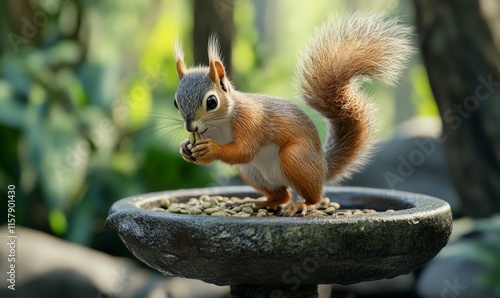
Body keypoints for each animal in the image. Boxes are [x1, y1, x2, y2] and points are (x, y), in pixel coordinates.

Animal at [174, 12, 412, 217]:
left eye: (211, 102)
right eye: (176, 102)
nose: (190, 127)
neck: (220, 123)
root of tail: (322, 167)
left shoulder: (251, 121)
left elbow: (244, 149)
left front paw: (212, 149)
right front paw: (185, 148)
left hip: (296, 158)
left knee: (312, 196)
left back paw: (302, 205)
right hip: (252, 172)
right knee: (282, 195)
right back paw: (256, 202)